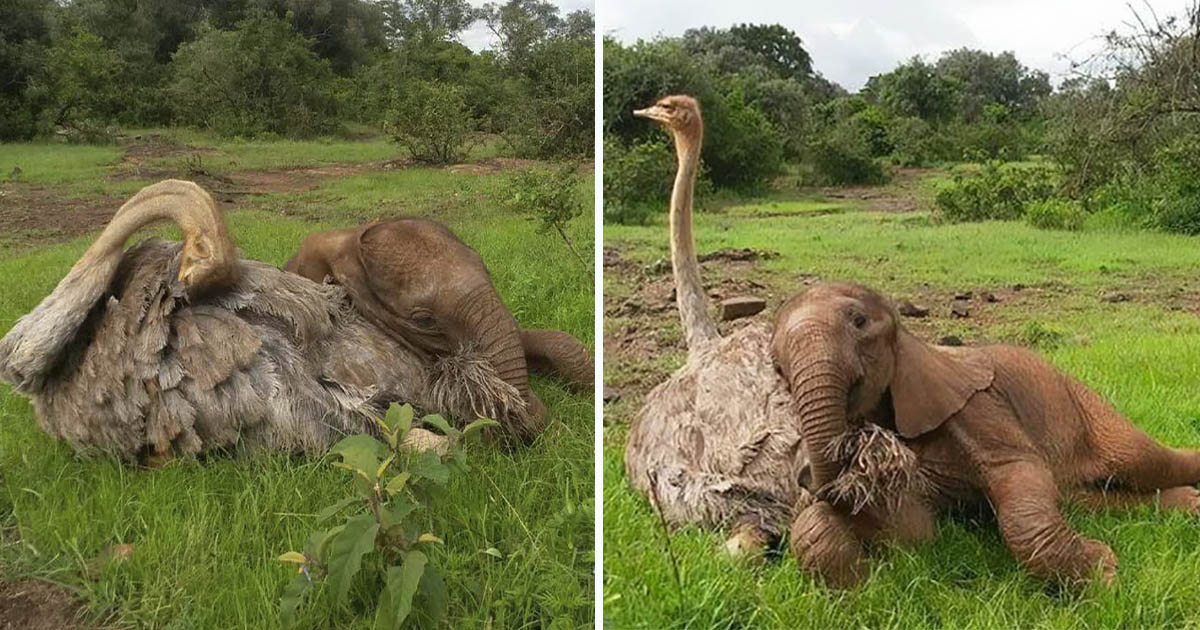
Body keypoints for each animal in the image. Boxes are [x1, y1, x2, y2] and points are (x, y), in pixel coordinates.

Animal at [771, 282, 1200, 587]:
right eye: (776, 365)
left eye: (859, 322)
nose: (807, 477)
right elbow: (914, 530)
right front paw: (865, 585)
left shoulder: (978, 407)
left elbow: (1019, 473)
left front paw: (1105, 576)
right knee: (1077, 496)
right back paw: (1188, 503)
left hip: (1083, 405)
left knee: (1142, 460)